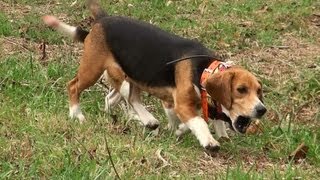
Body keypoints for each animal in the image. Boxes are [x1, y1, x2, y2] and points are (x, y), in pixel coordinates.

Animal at [43, 0, 268, 153]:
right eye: (241, 90)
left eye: (259, 91)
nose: (262, 110)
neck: (203, 70)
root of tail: (102, 20)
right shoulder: (182, 104)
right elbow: (199, 122)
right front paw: (208, 140)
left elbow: (193, 121)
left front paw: (180, 130)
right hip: (93, 70)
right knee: (74, 86)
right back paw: (77, 114)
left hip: (132, 76)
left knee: (124, 98)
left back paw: (142, 120)